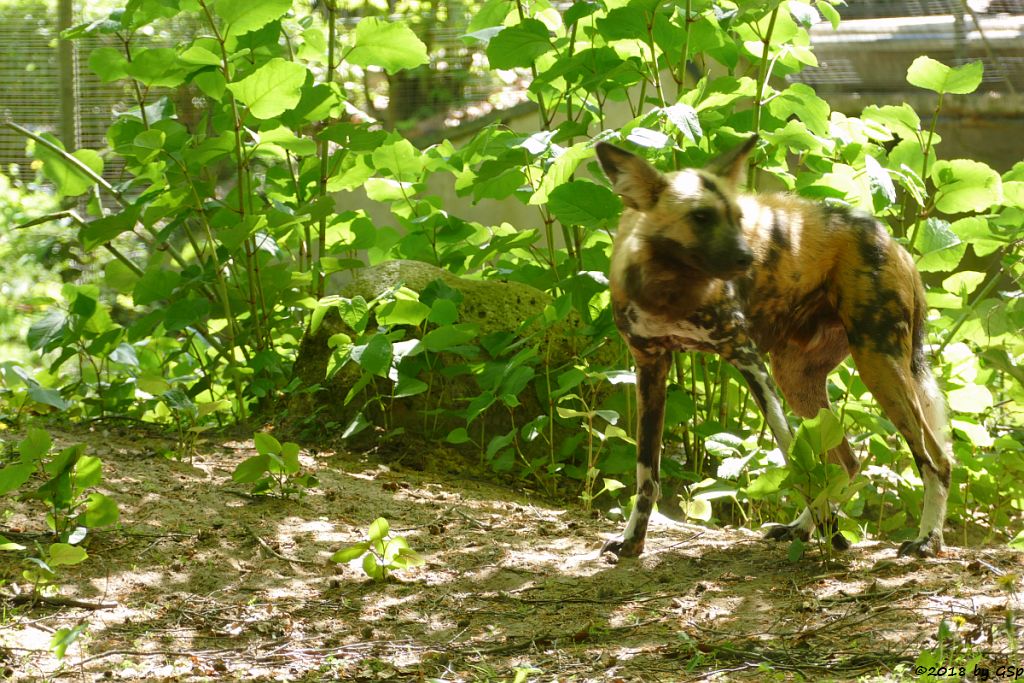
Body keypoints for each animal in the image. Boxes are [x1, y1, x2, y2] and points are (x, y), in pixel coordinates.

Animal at [598, 137, 954, 561]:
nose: (746, 258)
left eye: (738, 217)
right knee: (848, 463)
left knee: (936, 460)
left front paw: (833, 537)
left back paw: (926, 540)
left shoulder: (747, 359)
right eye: (700, 217)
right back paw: (802, 528)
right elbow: (646, 474)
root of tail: (893, 242)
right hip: (797, 378)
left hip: (878, 365)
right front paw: (632, 541)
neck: (670, 291)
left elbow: (793, 460)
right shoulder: (650, 367)